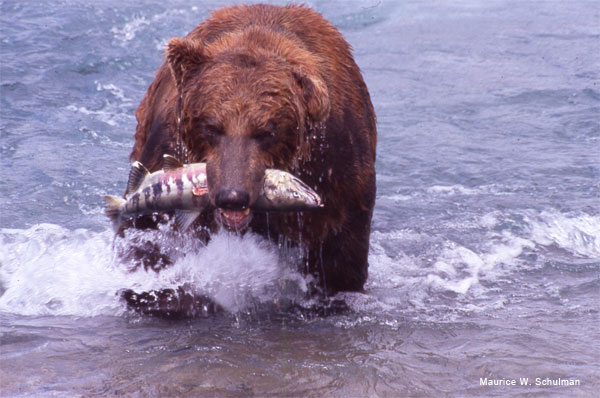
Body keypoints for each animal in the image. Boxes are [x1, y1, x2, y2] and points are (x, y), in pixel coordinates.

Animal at [121, 3, 376, 314]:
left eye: (266, 131)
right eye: (212, 126)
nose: (233, 196)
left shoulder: (335, 171)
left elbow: (340, 257)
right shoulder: (168, 145)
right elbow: (147, 237)